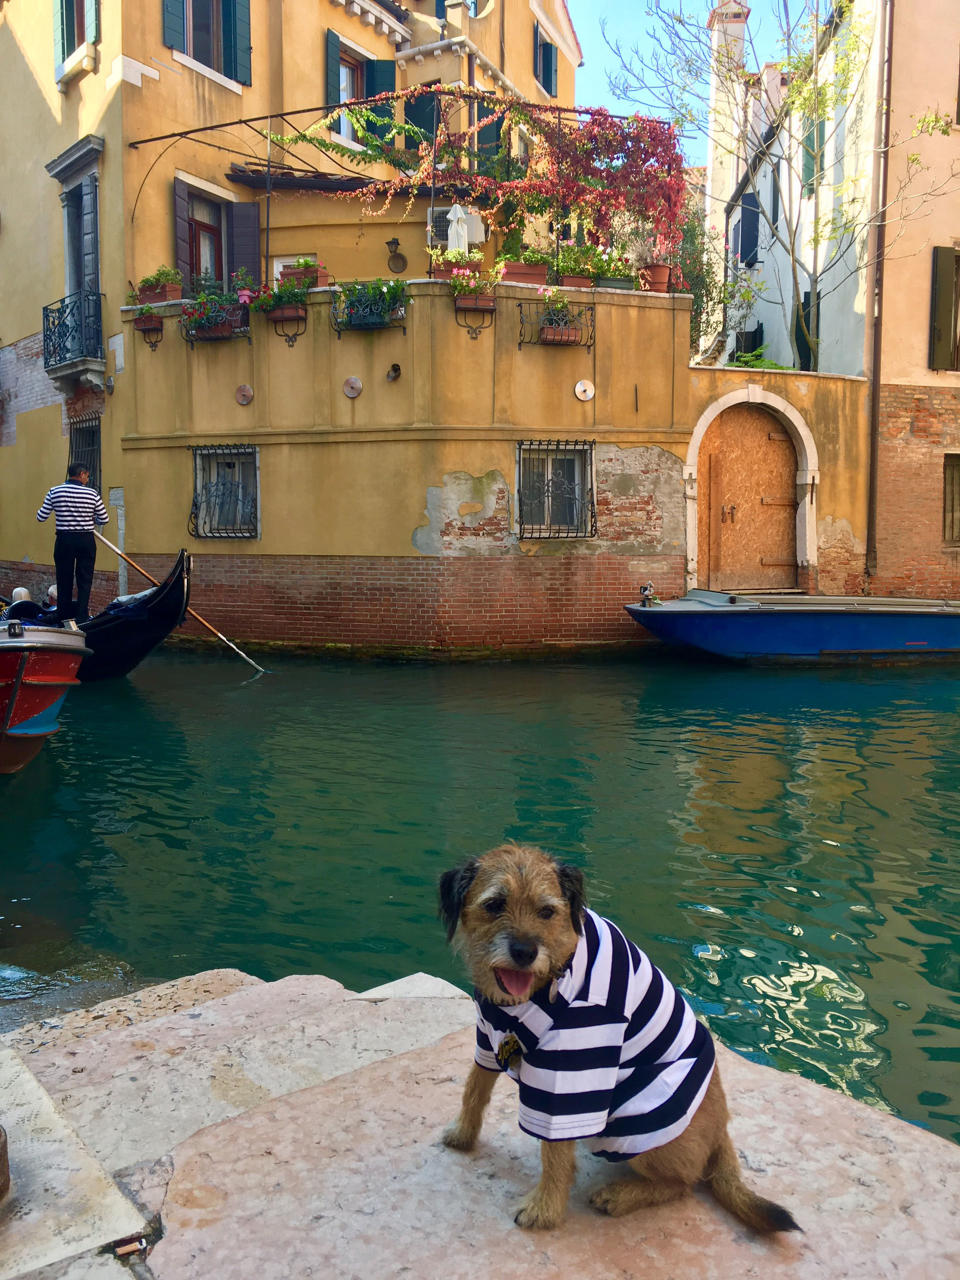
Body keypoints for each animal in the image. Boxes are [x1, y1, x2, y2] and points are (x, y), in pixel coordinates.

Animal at [440, 844, 798, 1233]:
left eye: (547, 911)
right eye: (494, 905)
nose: (525, 952)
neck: (548, 981)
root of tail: (722, 1132)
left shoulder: (571, 1077)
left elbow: (554, 1152)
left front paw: (545, 1210)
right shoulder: (488, 1037)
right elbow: (474, 1090)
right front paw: (463, 1135)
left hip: (634, 1127)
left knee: (684, 1184)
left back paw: (623, 1195)